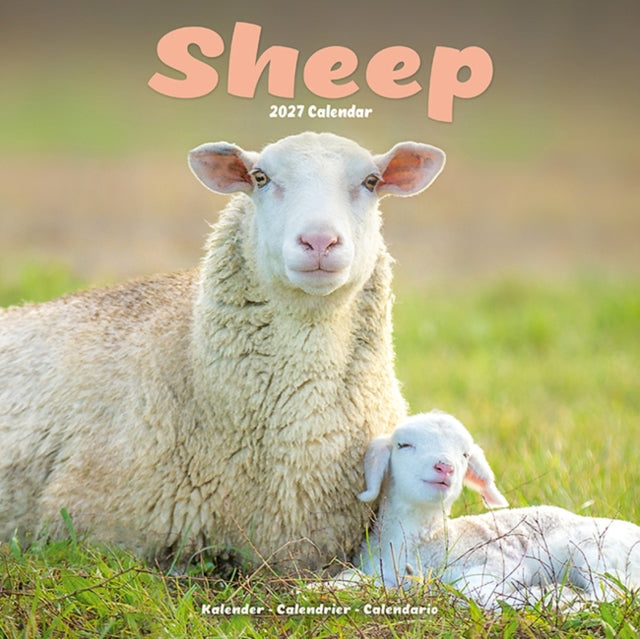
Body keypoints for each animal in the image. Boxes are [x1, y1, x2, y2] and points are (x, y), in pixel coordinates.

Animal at [356, 411, 640, 607]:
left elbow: (473, 589)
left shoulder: (496, 563)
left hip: (595, 552)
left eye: (465, 455)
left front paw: (527, 592)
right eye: (403, 445)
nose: (445, 467)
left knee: (615, 592)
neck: (427, 540)